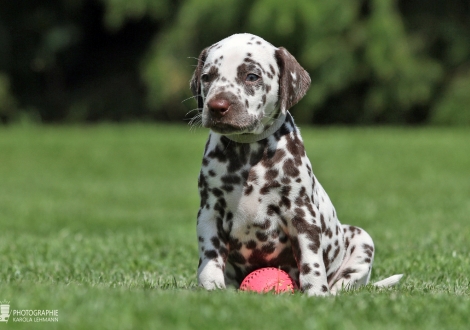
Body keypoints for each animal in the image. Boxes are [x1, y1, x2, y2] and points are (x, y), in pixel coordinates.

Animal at [189, 33, 402, 296]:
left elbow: (311, 260)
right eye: (207, 77)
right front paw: (211, 288)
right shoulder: (210, 212)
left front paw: (316, 294)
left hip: (362, 240)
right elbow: (210, 256)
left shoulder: (301, 214)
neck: (248, 156)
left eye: (252, 76)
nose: (217, 107)